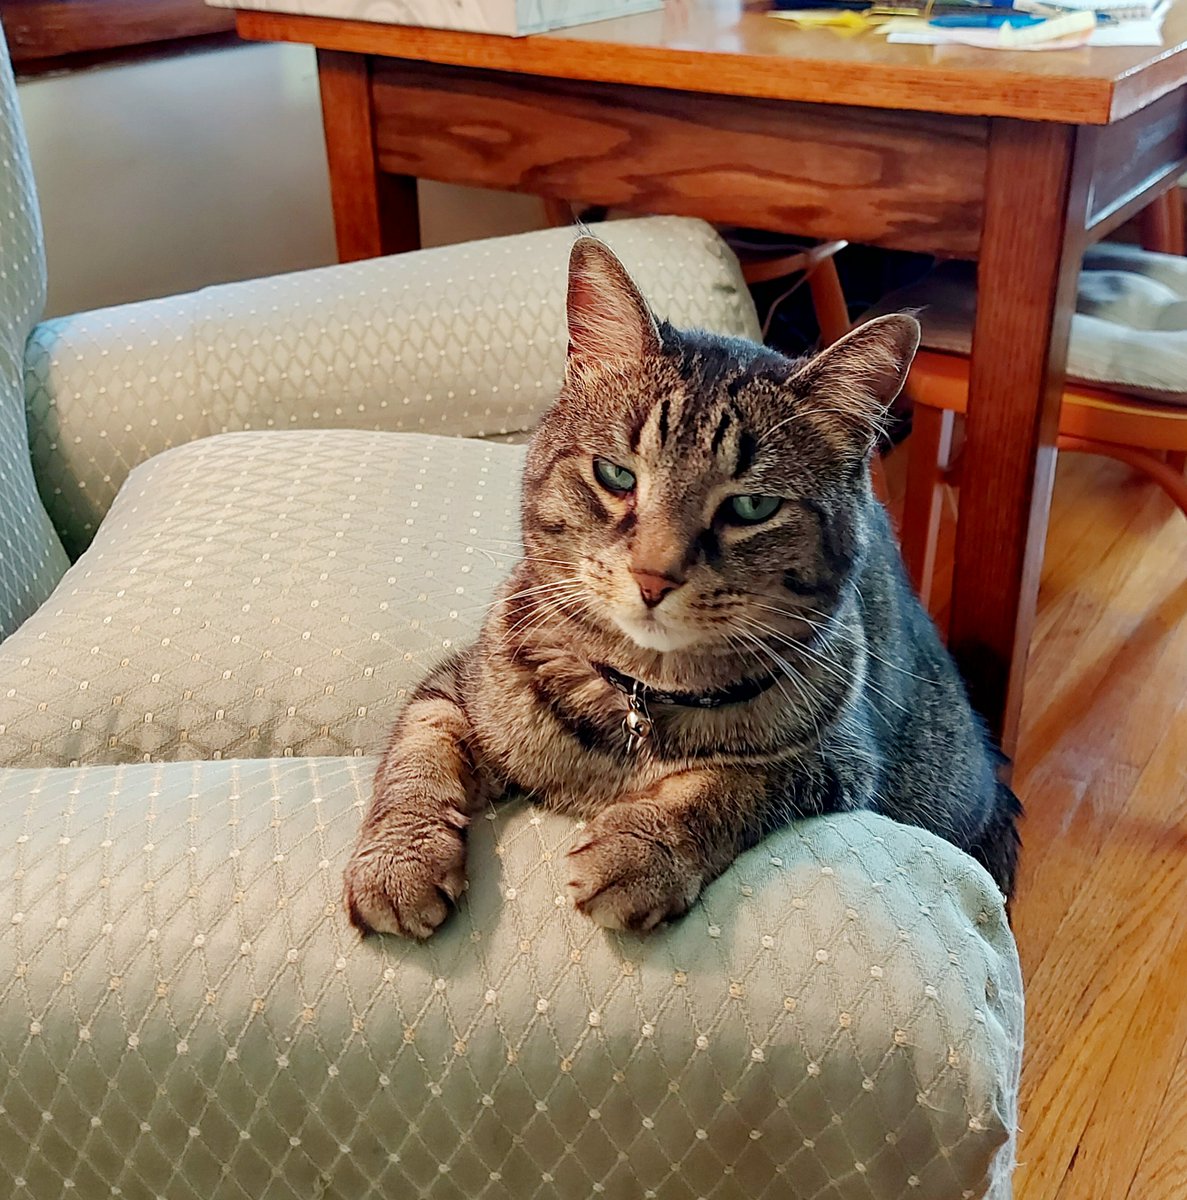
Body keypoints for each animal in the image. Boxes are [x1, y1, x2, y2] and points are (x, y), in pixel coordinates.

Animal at [343, 236, 1017, 936]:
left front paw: (643, 848)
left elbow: (727, 785)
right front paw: (400, 857)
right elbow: (420, 752)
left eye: (751, 507)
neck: (639, 701)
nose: (652, 576)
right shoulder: (459, 684)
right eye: (616, 474)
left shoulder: (834, 762)